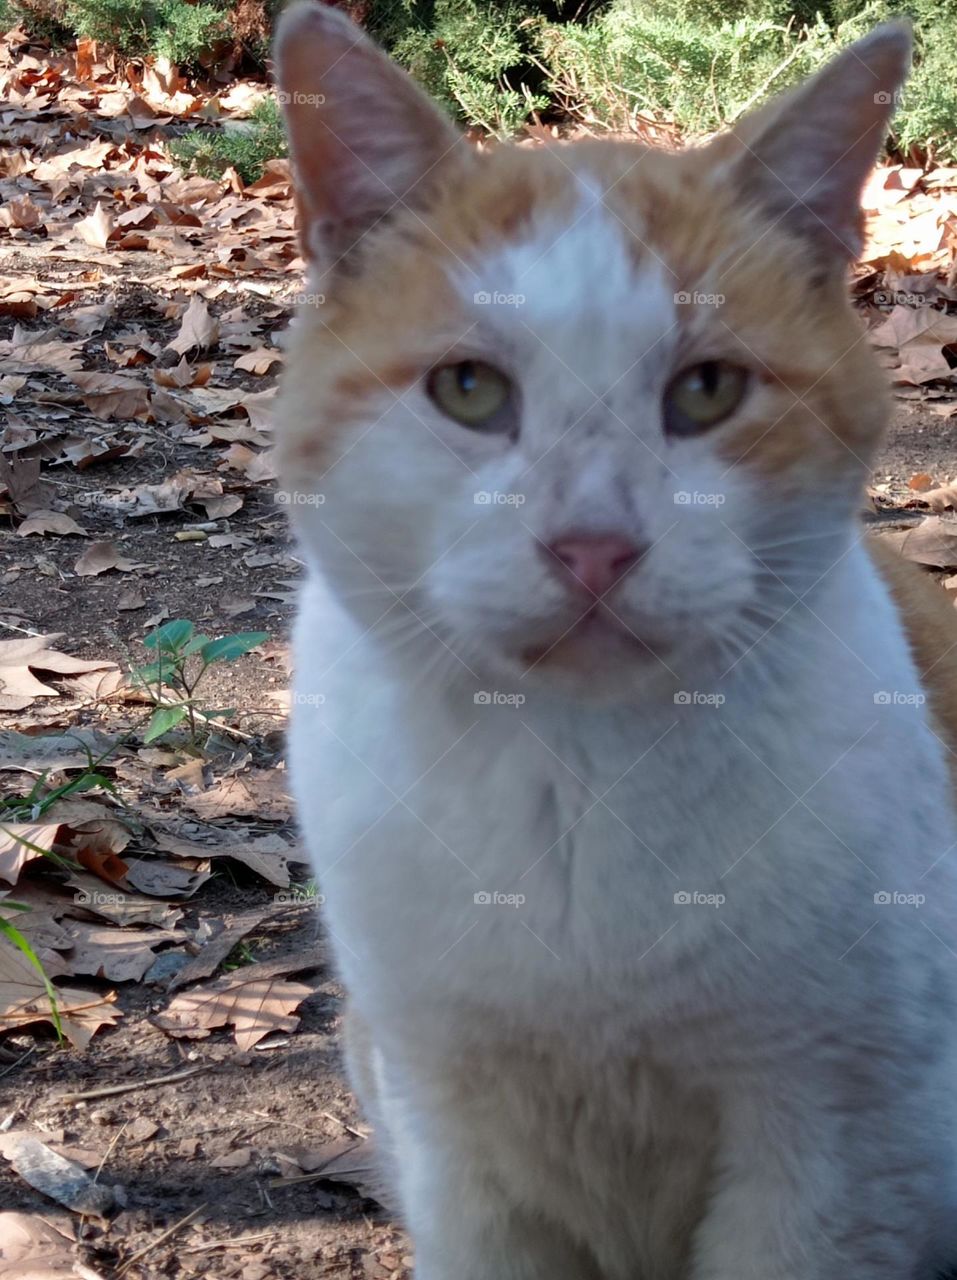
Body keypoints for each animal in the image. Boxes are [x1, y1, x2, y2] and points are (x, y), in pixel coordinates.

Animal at [272, 5, 957, 1274]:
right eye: (470, 388)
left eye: (707, 390)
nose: (594, 543)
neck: (576, 776)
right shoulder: (452, 1137)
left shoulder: (842, 1149)